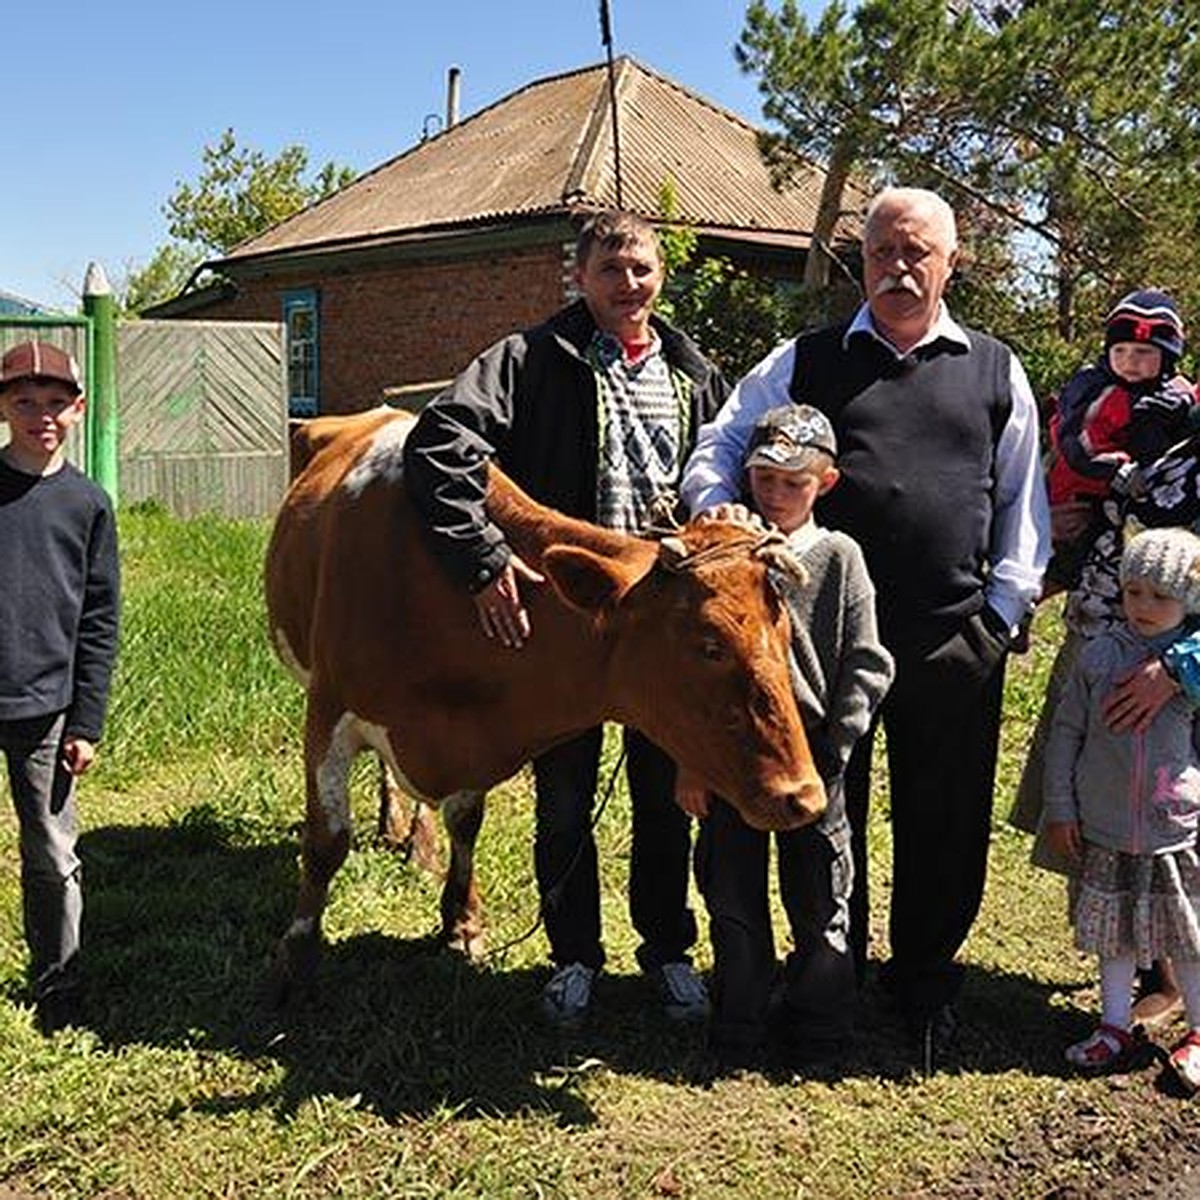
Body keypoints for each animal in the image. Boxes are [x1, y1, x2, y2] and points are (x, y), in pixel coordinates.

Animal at [264, 408, 825, 988]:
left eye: (785, 633)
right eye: (709, 645)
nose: (804, 797)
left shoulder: (476, 733)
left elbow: (465, 822)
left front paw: (461, 920)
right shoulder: (328, 711)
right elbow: (327, 840)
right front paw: (295, 956)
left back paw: (413, 837)